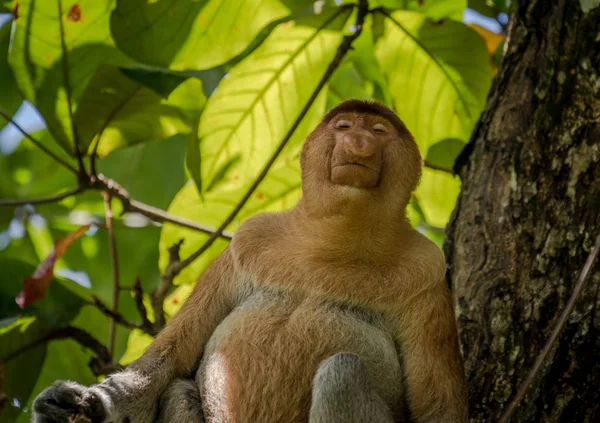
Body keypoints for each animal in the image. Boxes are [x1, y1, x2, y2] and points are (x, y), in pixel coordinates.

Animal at [34, 101, 468, 423]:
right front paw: (75, 403)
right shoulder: (246, 243)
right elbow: (166, 363)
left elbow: (437, 408)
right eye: (344, 126)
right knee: (177, 390)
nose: (359, 142)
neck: (337, 240)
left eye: (379, 132)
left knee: (343, 373)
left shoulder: (428, 279)